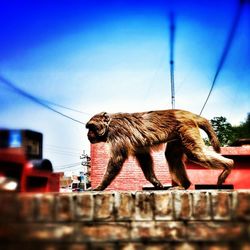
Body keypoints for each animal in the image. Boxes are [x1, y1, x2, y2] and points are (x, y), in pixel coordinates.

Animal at [86, 108, 234, 190]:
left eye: (91, 127)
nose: (88, 135)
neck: (109, 124)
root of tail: (186, 113)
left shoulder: (116, 133)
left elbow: (117, 159)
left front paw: (100, 187)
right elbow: (143, 156)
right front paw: (155, 181)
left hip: (186, 127)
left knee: (195, 154)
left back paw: (229, 165)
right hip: (179, 134)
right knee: (172, 155)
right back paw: (185, 185)